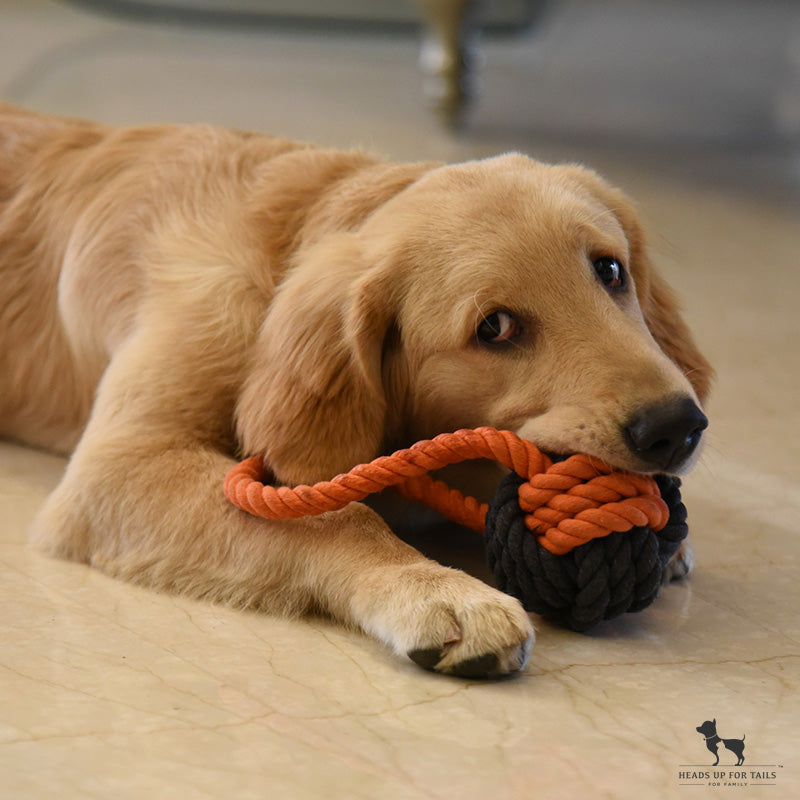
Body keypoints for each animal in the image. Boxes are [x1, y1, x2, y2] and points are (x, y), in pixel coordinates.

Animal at [1, 103, 712, 680]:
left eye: (610, 269)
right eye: (495, 328)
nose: (677, 427)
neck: (280, 259)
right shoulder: (119, 465)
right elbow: (336, 514)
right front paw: (435, 588)